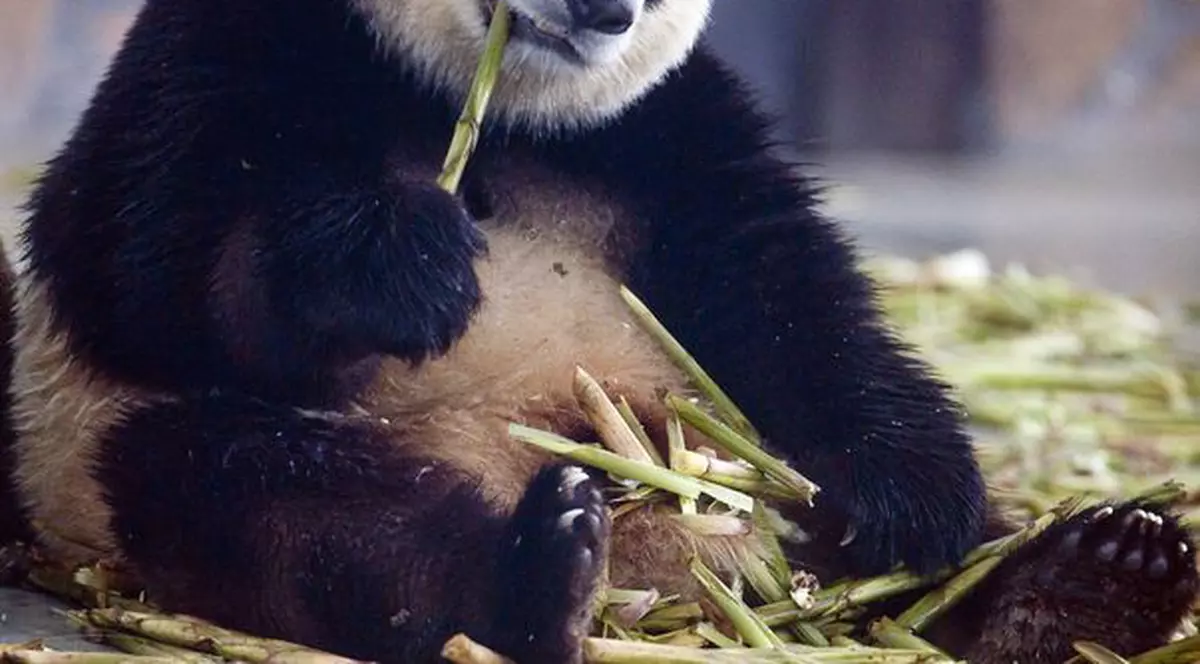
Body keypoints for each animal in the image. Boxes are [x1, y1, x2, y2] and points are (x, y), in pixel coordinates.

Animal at [0, 0, 1195, 662]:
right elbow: (142, 262)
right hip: (111, 453)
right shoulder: (220, 52)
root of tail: (663, 570)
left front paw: (914, 496)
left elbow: (785, 295)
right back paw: (534, 576)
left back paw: (1080, 581)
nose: (600, 8)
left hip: (741, 480)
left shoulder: (664, 124)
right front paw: (399, 262)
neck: (489, 101)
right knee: (278, 504)